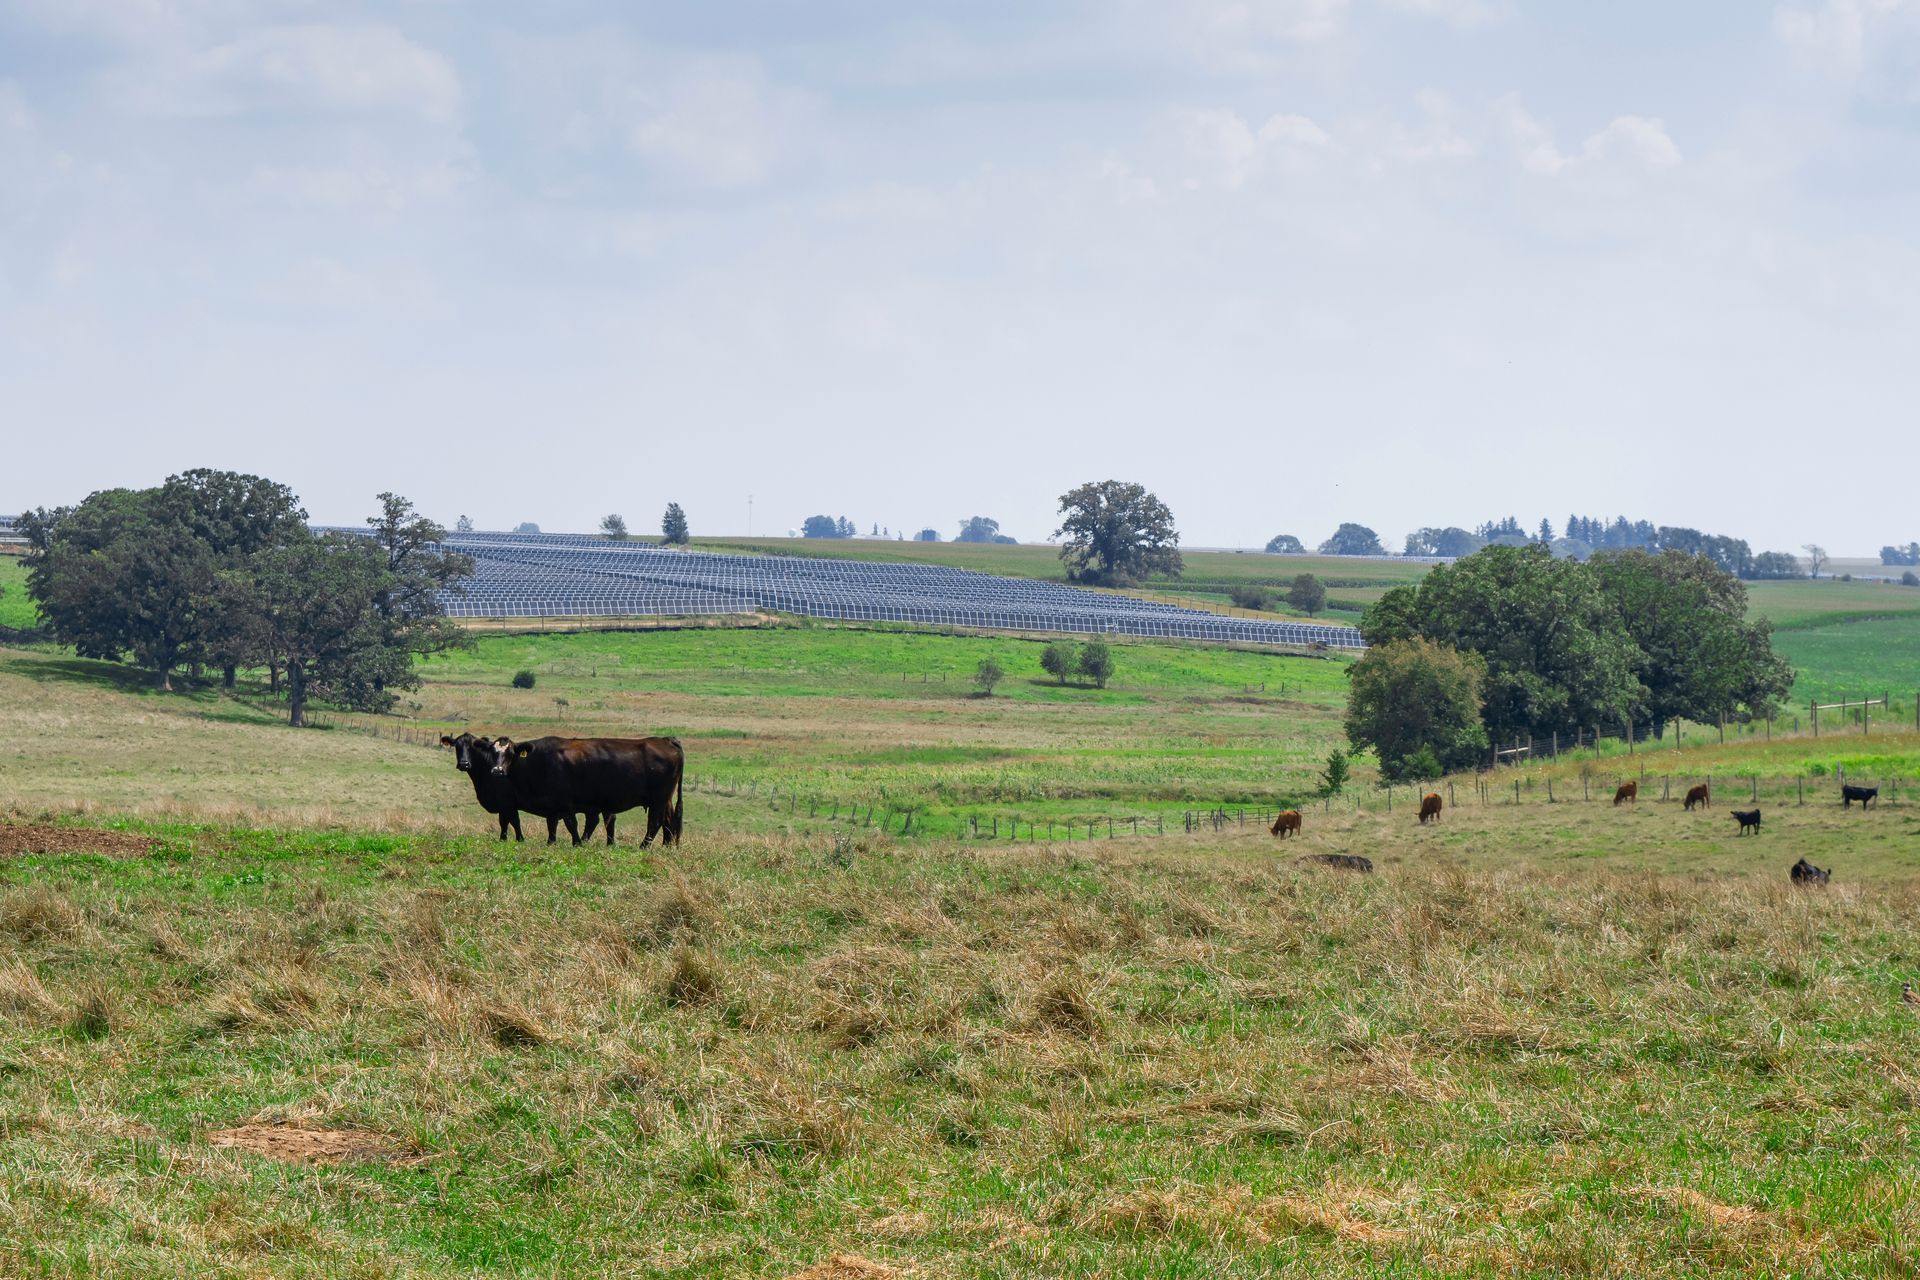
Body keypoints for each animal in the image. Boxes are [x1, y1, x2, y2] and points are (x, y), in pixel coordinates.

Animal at [492, 735, 684, 847]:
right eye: (493, 753)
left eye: (510, 753)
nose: (497, 770)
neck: (540, 760)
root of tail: (666, 740)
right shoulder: (553, 804)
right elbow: (552, 824)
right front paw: (551, 842)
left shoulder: (565, 801)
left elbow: (571, 823)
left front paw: (577, 843)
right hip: (665, 799)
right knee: (667, 821)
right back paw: (665, 846)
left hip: (658, 799)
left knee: (655, 822)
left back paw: (644, 846)